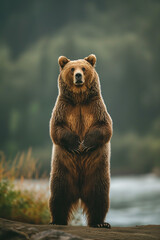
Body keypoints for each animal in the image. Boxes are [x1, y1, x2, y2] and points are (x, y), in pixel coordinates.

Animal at [48, 54, 112, 229]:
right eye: (72, 69)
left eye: (83, 68)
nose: (78, 76)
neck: (79, 98)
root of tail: (79, 192)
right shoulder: (63, 108)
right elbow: (56, 129)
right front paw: (77, 144)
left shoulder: (96, 107)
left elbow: (105, 127)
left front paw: (85, 143)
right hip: (62, 171)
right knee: (58, 196)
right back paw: (57, 220)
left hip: (97, 173)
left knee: (99, 197)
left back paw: (100, 223)